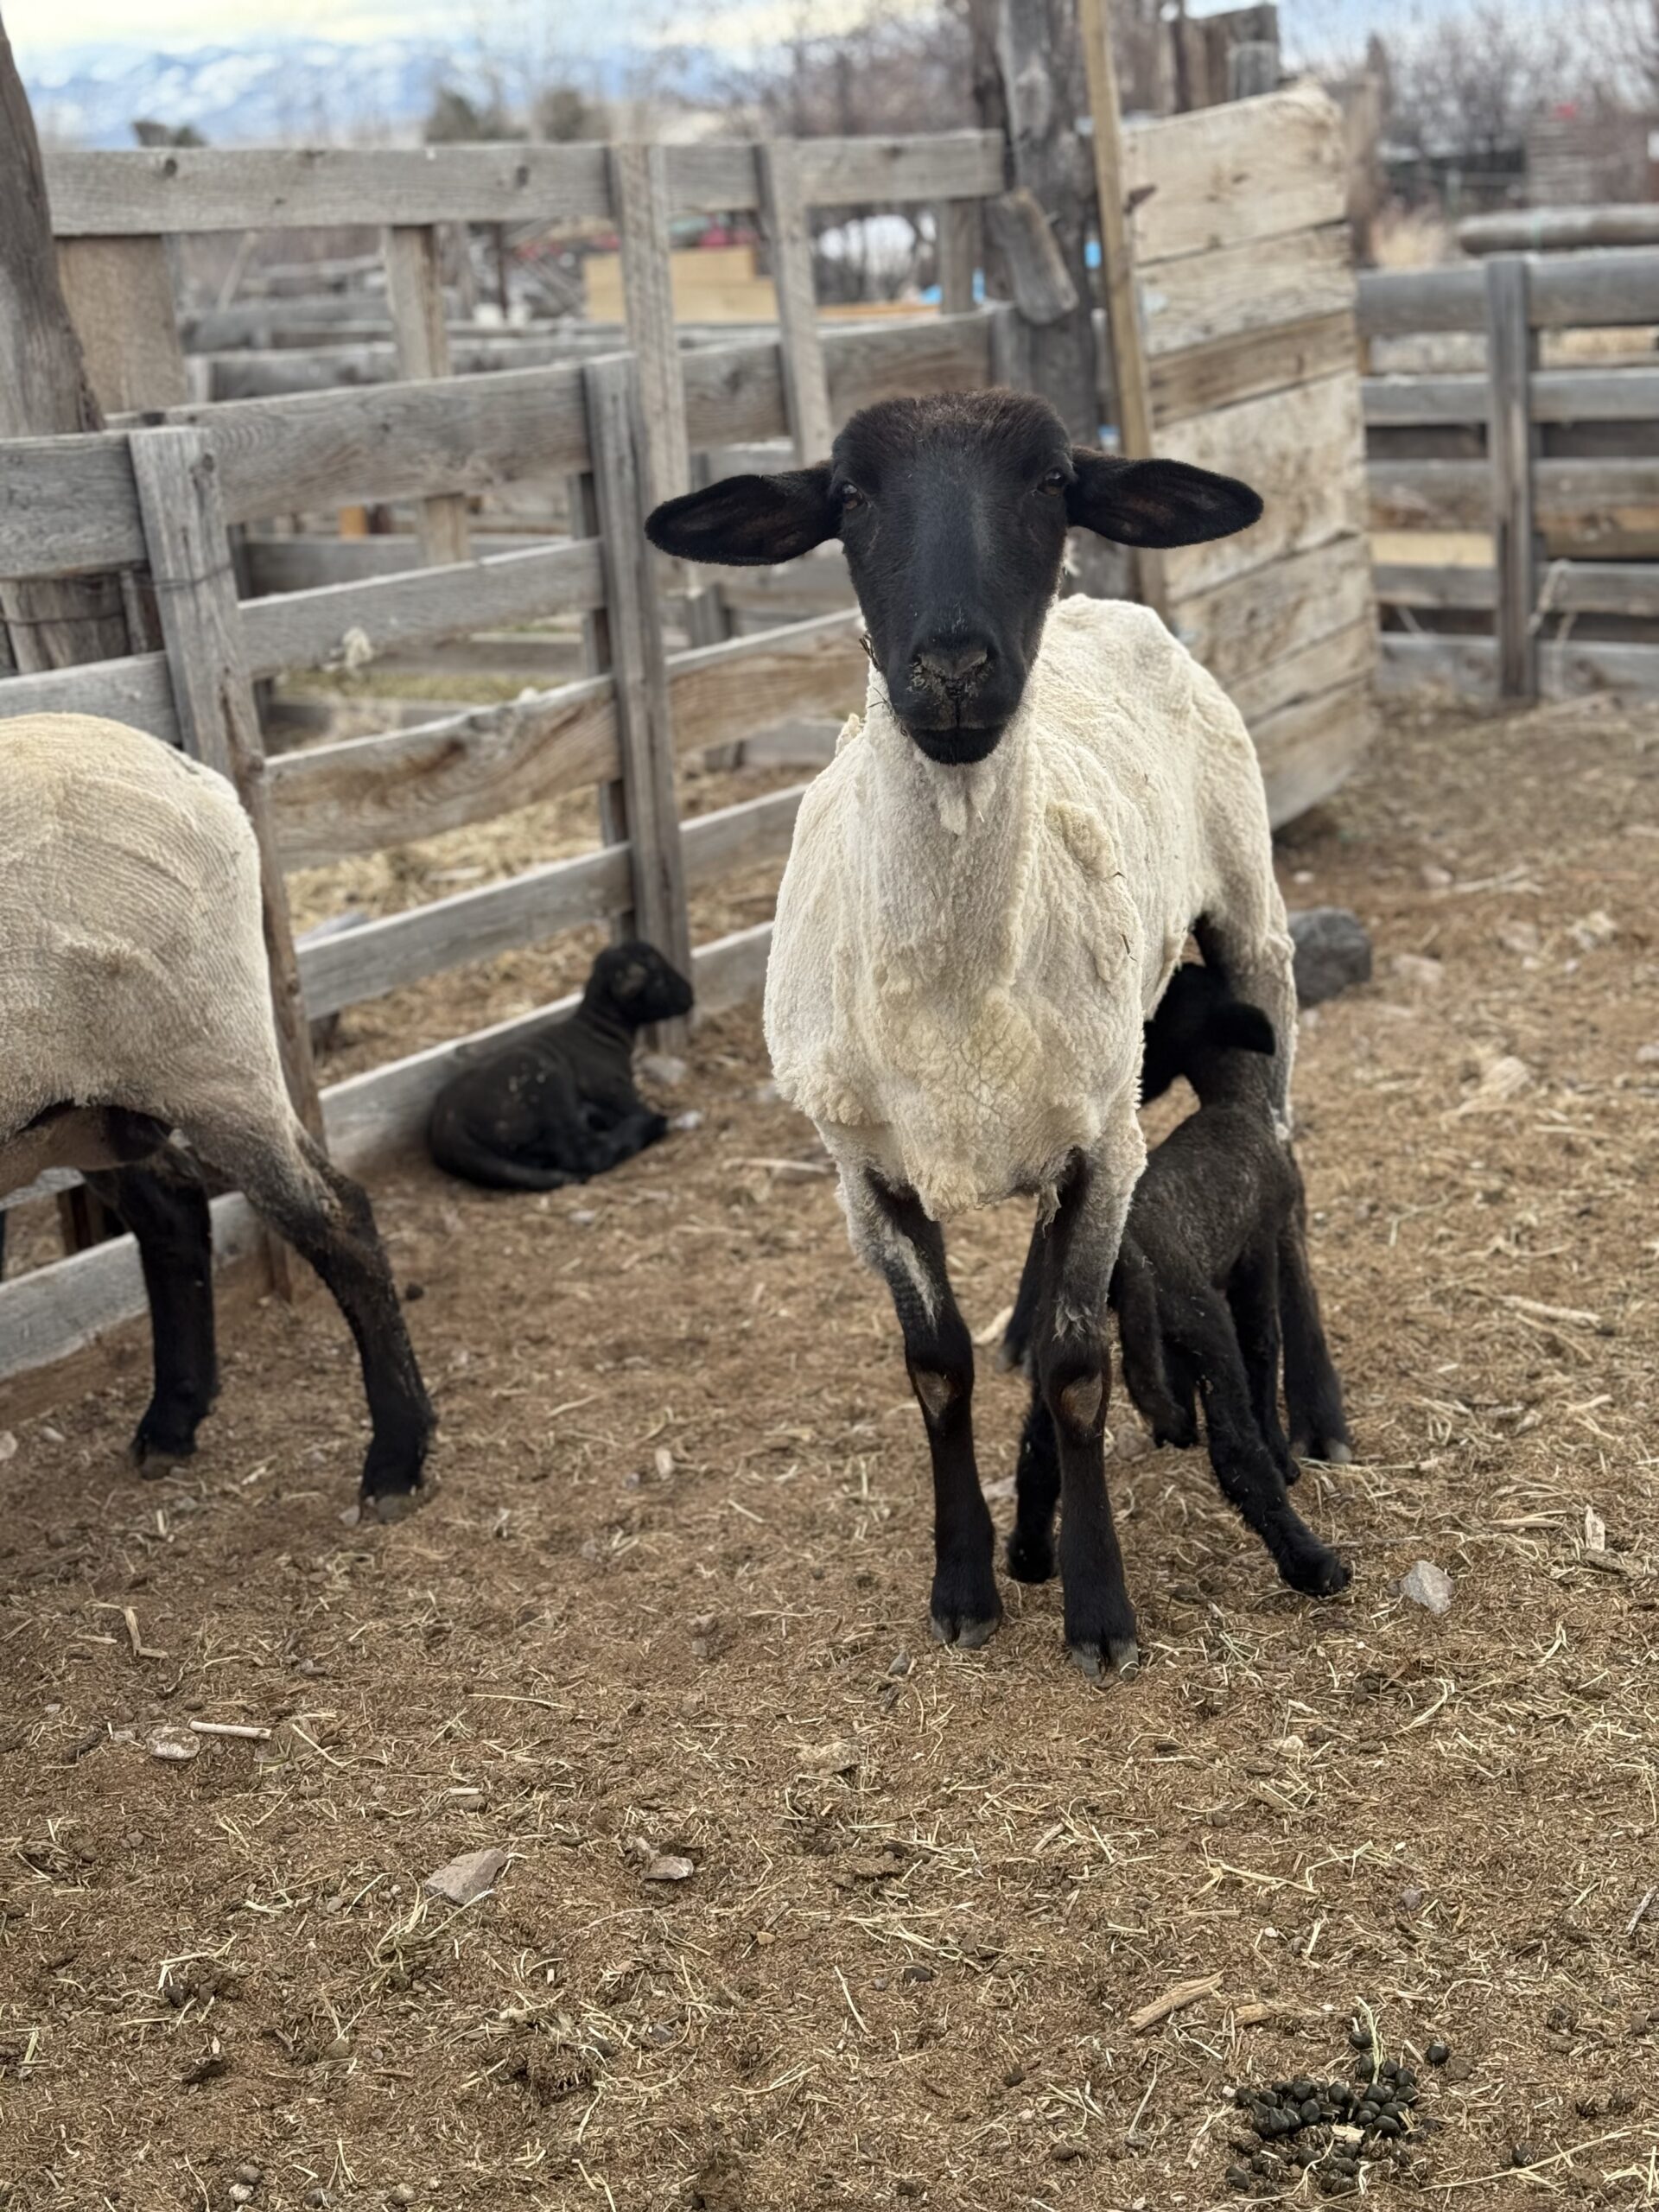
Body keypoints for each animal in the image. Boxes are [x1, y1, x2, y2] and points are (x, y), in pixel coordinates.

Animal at [0, 713, 433, 1513]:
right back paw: (172, 1422)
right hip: (86, 1111)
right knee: (173, 1210)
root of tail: (198, 776)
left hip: (213, 1063)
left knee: (338, 1220)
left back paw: (397, 1459)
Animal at [427, 941, 694, 1190]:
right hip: (545, 1085)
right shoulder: (612, 1088)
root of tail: (448, 1131)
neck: (599, 1032)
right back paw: (651, 1124)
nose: (690, 995)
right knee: (582, 1152)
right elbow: (634, 1109)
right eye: (658, 980)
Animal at [647, 387, 1302, 1677]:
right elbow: (936, 1369)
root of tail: (1108, 602)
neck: (953, 999)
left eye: (1053, 483)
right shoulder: (866, 1174)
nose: (952, 669)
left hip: (1252, 925)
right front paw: (963, 1585)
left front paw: (1098, 1610)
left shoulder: (1103, 1146)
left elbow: (1080, 1371)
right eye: (850, 497)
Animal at [1003, 964, 1352, 1598]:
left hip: (1058, 1344)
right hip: (1202, 1318)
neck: (1234, 1101)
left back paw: (1028, 1558)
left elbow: (1174, 1374)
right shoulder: (1258, 1247)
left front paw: (1178, 1425)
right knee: (1235, 1451)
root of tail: (1123, 1257)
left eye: (1161, 1020)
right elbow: (1263, 1345)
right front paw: (1283, 1457)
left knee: (1040, 1447)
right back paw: (1314, 1565)